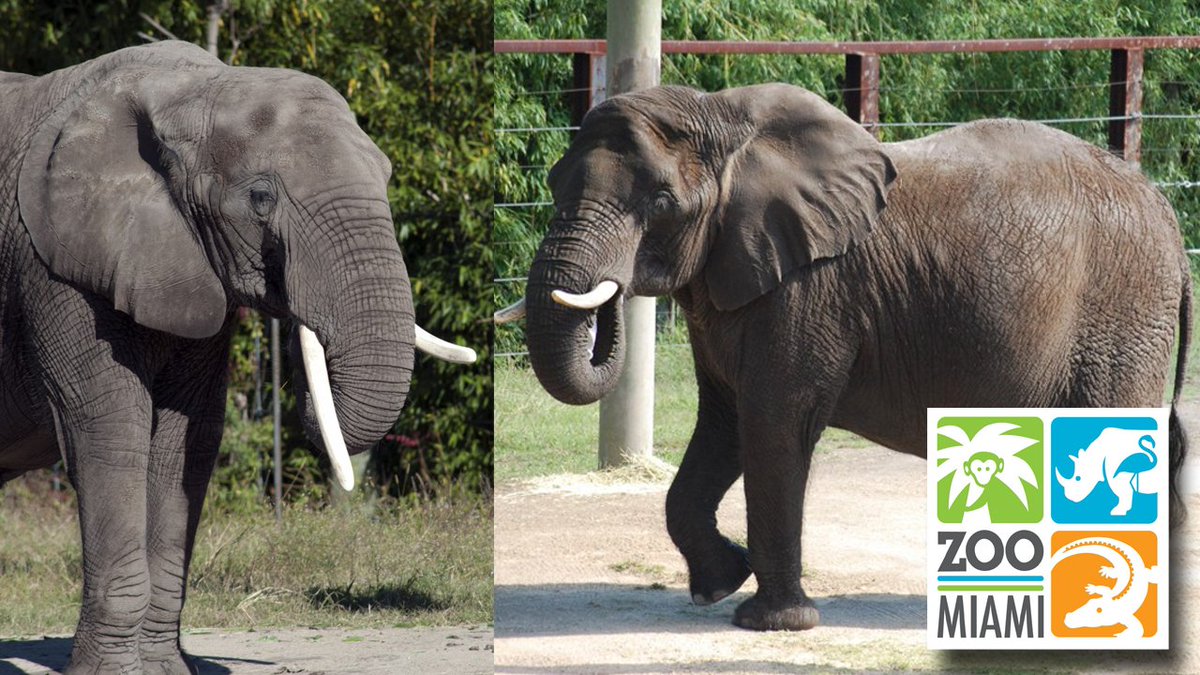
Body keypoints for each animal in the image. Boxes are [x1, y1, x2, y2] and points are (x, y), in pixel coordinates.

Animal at [0, 41, 474, 672]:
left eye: (389, 176)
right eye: (261, 198)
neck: (192, 90)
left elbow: (183, 442)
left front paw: (166, 670)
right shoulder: (53, 268)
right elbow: (112, 429)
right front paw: (116, 673)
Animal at [497, 83, 1191, 631]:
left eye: (662, 203)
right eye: (554, 184)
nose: (611, 292)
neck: (723, 118)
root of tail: (1167, 215)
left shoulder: (809, 290)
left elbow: (772, 422)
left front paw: (772, 623)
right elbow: (723, 424)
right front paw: (720, 583)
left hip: (1122, 311)